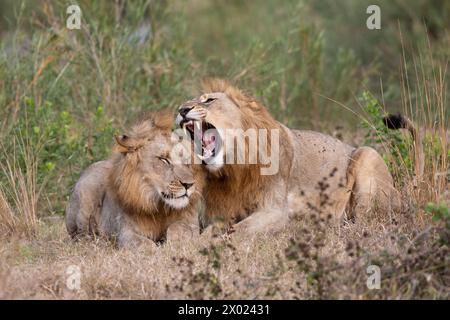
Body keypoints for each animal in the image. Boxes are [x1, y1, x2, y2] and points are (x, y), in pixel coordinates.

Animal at [66, 111, 205, 249]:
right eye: (164, 159)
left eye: (186, 162)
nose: (189, 185)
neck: (159, 207)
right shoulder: (126, 233)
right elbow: (145, 244)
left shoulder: (191, 223)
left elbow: (178, 229)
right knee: (81, 237)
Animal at [175, 79, 404, 235]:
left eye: (209, 100)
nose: (181, 109)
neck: (233, 169)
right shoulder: (220, 214)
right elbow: (209, 233)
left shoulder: (276, 211)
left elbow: (238, 231)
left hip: (368, 155)